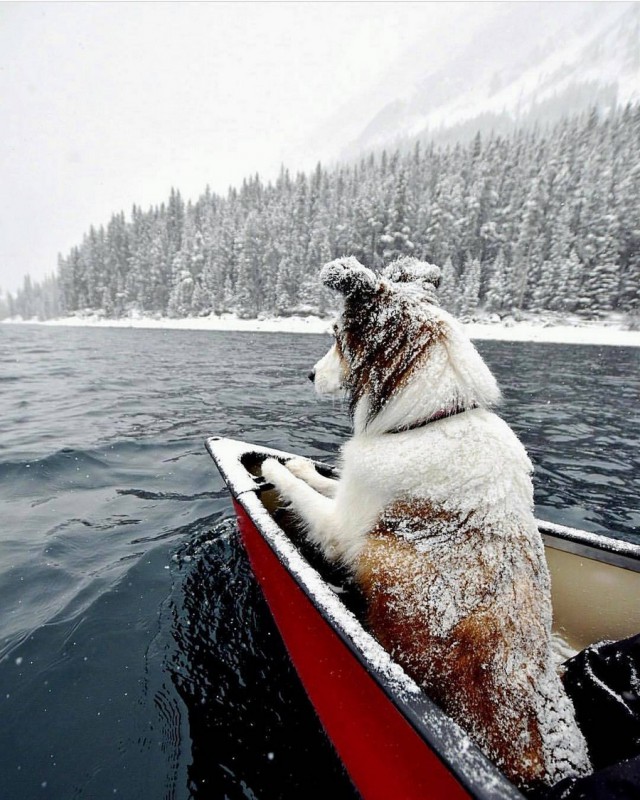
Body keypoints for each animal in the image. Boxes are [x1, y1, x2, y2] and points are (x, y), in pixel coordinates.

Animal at [262, 258, 592, 792]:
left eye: (335, 335)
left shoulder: (343, 531)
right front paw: (298, 464)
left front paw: (273, 467)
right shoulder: (355, 496)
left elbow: (307, 496)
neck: (431, 421)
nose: (308, 373)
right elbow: (324, 480)